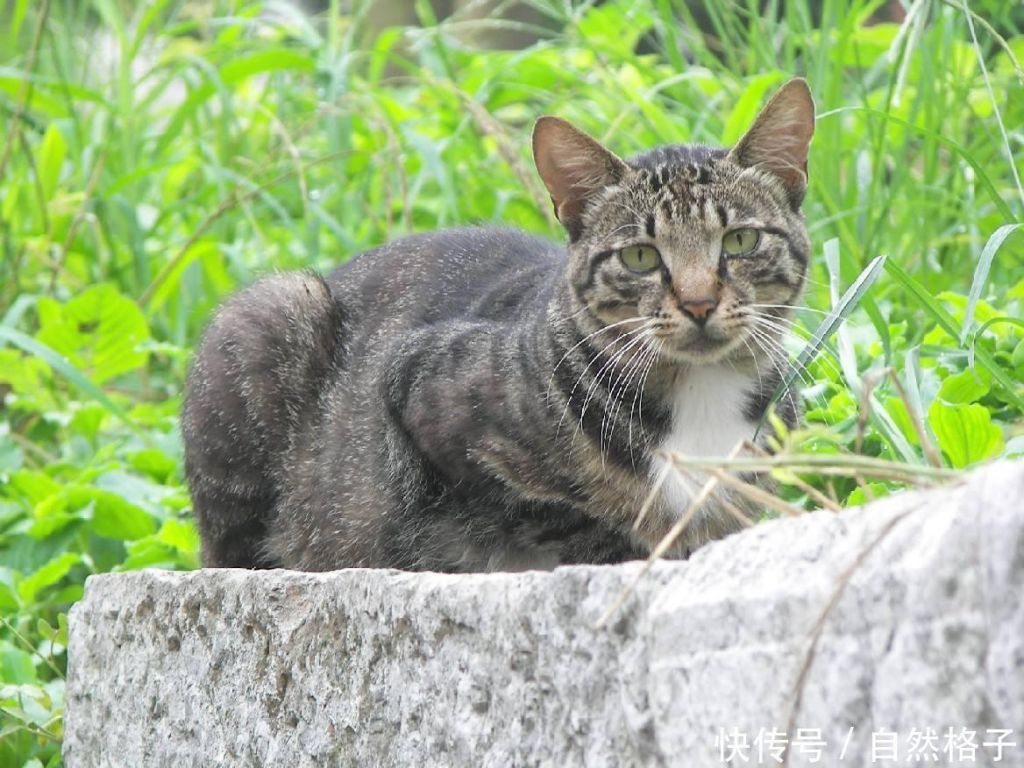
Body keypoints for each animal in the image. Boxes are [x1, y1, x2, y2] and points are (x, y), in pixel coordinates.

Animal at [180, 79, 811, 573]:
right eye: (640, 256)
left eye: (740, 241)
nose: (700, 303)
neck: (699, 394)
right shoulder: (419, 391)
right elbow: (565, 515)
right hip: (273, 312)